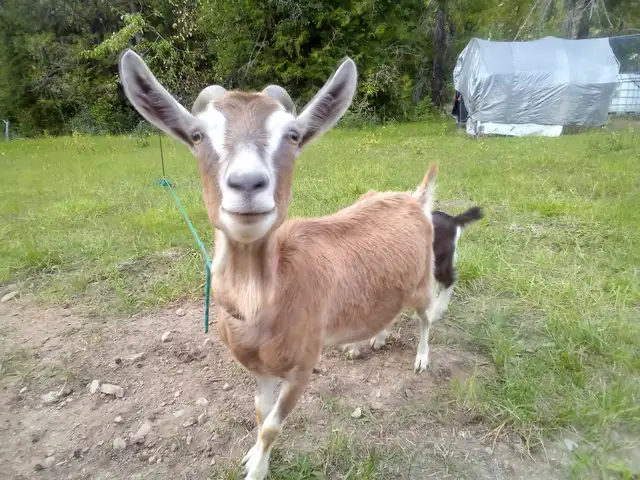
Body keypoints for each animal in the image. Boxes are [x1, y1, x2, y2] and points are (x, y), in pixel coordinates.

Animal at [118, 50, 437, 480]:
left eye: (293, 135)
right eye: (197, 135)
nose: (248, 184)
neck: (264, 305)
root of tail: (414, 198)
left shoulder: (303, 366)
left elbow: (272, 426)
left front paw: (256, 468)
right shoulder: (260, 368)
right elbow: (258, 414)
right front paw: (252, 455)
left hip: (423, 281)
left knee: (425, 317)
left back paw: (421, 359)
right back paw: (374, 340)